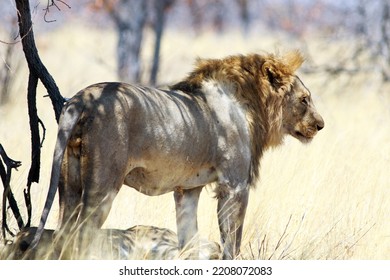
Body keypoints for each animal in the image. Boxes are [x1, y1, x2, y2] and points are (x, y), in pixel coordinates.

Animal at [29, 50, 322, 260]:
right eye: (304, 99)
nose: (321, 125)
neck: (250, 105)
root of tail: (81, 99)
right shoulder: (235, 185)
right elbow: (232, 240)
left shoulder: (187, 189)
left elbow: (189, 240)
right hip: (103, 186)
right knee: (81, 237)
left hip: (69, 182)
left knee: (62, 235)